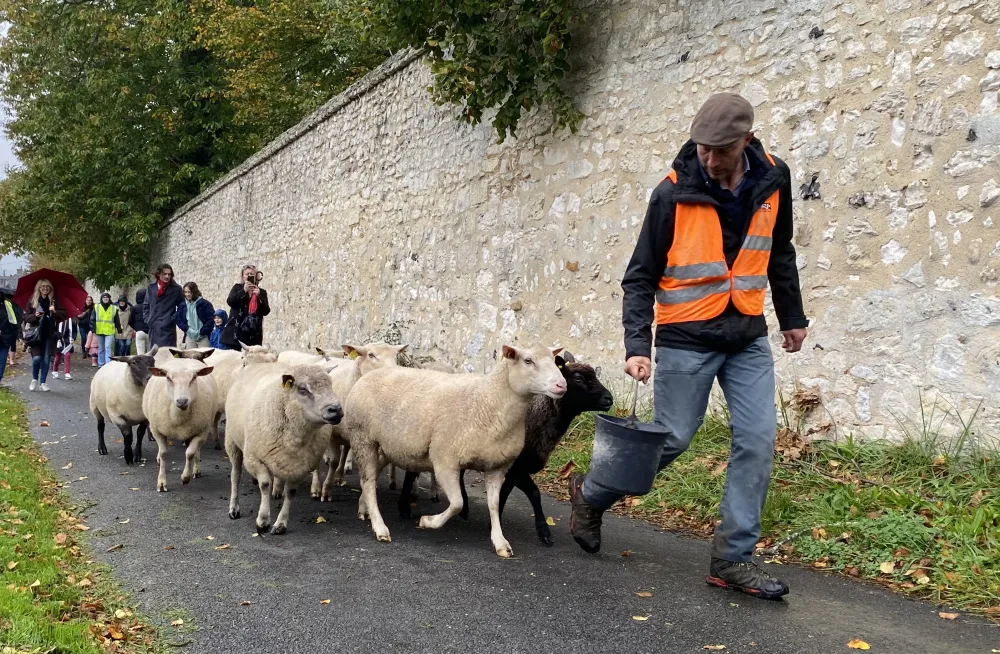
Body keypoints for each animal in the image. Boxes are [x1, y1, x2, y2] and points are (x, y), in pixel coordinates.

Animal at [141, 358, 217, 492]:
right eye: (168, 378)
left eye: (194, 378)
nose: (182, 401)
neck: (178, 418)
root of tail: (184, 358)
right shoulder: (157, 430)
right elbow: (163, 453)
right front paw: (161, 483)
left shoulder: (201, 432)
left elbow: (190, 453)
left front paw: (185, 477)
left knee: (197, 450)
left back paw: (196, 470)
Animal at [224, 362, 344, 536]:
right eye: (302, 389)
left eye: (331, 385)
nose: (336, 410)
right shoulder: (254, 459)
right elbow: (264, 484)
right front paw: (263, 521)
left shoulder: (300, 467)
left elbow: (291, 492)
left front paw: (280, 524)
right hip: (232, 441)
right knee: (235, 475)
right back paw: (234, 508)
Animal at [342, 344, 564, 560]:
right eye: (528, 361)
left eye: (554, 361)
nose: (562, 385)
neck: (488, 400)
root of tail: (369, 376)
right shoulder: (444, 460)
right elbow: (457, 503)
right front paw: (428, 521)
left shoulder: (497, 467)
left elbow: (493, 505)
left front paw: (500, 542)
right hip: (363, 437)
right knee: (369, 481)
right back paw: (380, 527)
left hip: (388, 446)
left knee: (369, 477)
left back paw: (364, 508)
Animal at [402, 356, 612, 544]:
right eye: (578, 378)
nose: (609, 398)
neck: (538, 416)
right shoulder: (517, 468)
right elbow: (534, 493)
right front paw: (544, 532)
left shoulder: (512, 468)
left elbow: (503, 494)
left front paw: (494, 523)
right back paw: (406, 506)